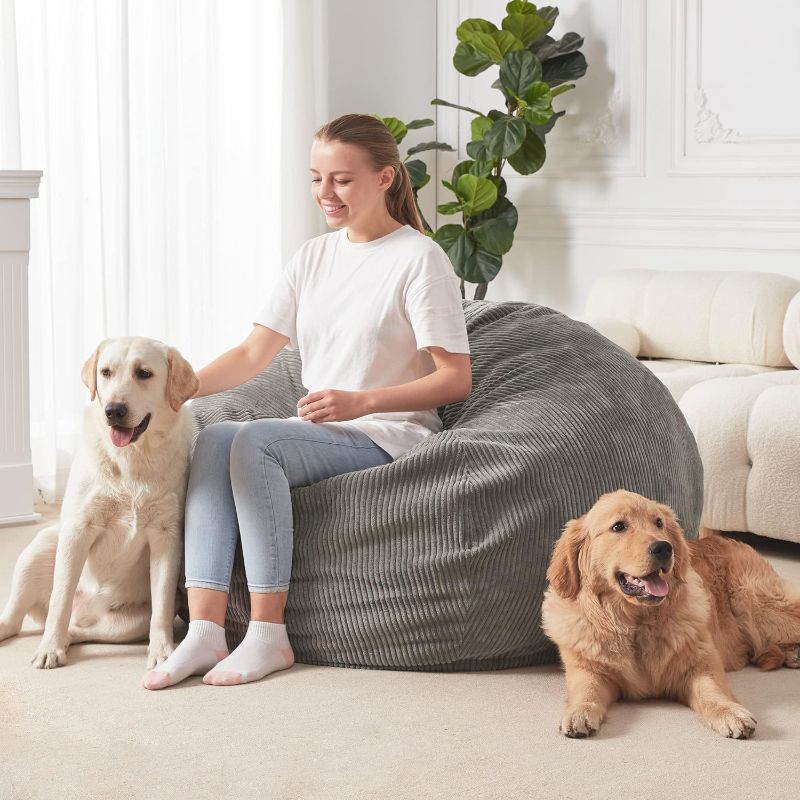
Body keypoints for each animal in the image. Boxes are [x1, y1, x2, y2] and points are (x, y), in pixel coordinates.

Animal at [0, 338, 198, 668]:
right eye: (106, 372)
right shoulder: (78, 528)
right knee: (19, 618)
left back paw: (67, 639)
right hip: (41, 546)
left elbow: (161, 605)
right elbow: (61, 598)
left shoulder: (166, 536)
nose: (113, 410)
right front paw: (48, 648)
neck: (133, 459)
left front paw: (162, 652)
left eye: (144, 373)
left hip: (130, 623)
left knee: (79, 630)